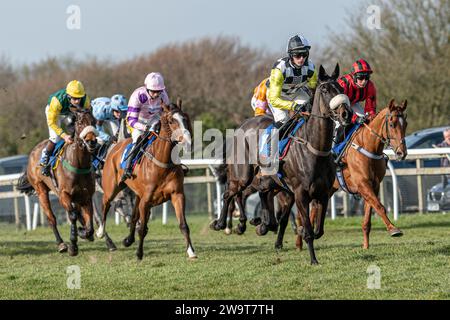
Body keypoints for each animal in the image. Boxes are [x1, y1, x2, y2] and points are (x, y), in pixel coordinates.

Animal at [18, 109, 98, 256]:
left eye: (94, 121)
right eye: (79, 122)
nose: (91, 142)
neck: (79, 164)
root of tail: (32, 152)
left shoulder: (86, 196)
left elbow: (89, 222)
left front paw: (84, 233)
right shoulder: (63, 195)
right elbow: (72, 215)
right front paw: (73, 245)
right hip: (41, 190)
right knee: (51, 218)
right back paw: (61, 244)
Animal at [96, 100, 196, 260]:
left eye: (185, 118)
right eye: (171, 121)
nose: (187, 142)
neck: (163, 163)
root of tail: (116, 145)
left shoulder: (177, 195)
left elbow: (183, 225)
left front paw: (191, 251)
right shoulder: (146, 201)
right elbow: (142, 228)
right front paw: (139, 253)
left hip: (137, 194)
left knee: (133, 216)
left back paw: (128, 240)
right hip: (111, 188)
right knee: (106, 204)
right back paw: (100, 232)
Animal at [209, 63, 354, 264]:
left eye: (341, 89)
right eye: (325, 90)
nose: (346, 113)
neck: (314, 148)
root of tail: (241, 126)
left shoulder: (323, 194)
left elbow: (318, 231)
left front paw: (267, 226)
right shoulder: (300, 194)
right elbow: (309, 232)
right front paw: (313, 260)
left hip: (268, 180)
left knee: (260, 194)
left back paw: (258, 224)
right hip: (243, 176)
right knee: (230, 194)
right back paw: (223, 223)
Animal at [288, 100, 408, 250]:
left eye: (406, 124)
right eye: (392, 124)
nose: (401, 153)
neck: (368, 146)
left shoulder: (373, 186)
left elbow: (369, 215)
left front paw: (365, 246)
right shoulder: (363, 184)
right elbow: (380, 206)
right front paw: (393, 229)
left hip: (327, 189)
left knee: (313, 210)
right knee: (302, 214)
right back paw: (299, 241)